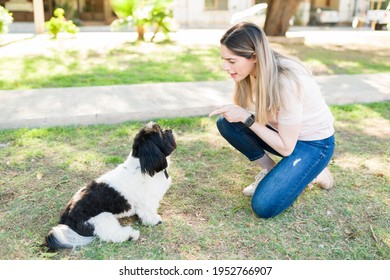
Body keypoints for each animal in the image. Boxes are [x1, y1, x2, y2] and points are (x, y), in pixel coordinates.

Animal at [44, 122, 177, 249]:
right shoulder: (146, 200)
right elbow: (148, 212)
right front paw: (154, 220)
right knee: (112, 234)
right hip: (101, 219)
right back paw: (130, 235)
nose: (170, 129)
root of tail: (66, 217)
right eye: (161, 133)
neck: (141, 165)